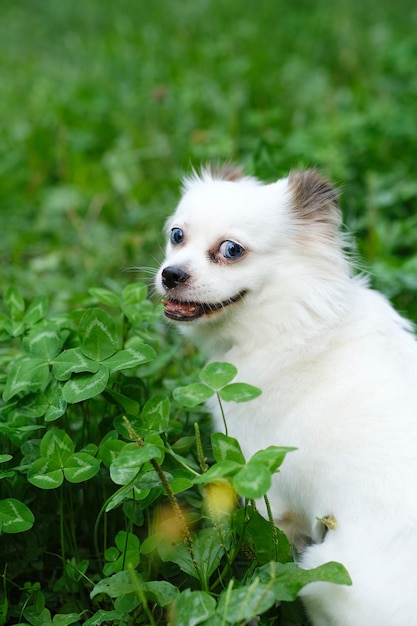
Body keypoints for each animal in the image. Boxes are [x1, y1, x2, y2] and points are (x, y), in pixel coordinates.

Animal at [154, 163, 416, 620]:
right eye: (176, 236)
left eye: (231, 250)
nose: (171, 274)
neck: (294, 322)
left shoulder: (261, 482)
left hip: (322, 576)